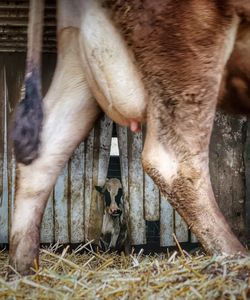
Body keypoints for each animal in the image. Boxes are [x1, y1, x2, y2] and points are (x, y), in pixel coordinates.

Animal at [8, 0, 249, 276]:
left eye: (120, 193)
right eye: (106, 194)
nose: (115, 209)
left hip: (79, 59)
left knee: (44, 157)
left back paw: (23, 270)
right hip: (190, 51)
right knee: (174, 165)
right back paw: (235, 258)